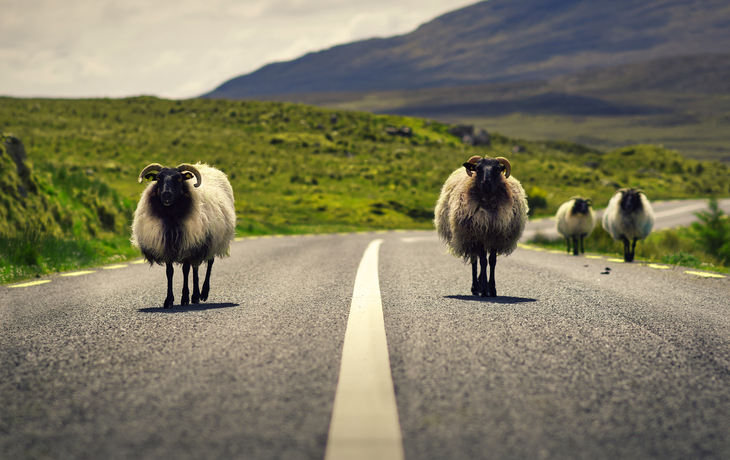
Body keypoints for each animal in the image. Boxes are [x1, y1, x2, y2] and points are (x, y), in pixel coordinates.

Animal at [131, 162, 236, 308]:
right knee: (196, 268)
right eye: (158, 179)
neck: (172, 217)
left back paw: (203, 293)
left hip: (214, 240)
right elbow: (169, 272)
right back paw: (196, 296)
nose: (166, 195)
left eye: (179, 179)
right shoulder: (168, 246)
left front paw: (185, 298)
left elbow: (185, 270)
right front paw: (169, 300)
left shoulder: (187, 244)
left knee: (209, 264)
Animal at [434, 155, 528, 297]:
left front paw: (492, 289)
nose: (486, 184)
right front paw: (484, 290)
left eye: (497, 170)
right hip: (470, 239)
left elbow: (492, 261)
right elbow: (483, 261)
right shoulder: (477, 235)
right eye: (478, 169)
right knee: (475, 261)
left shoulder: (495, 236)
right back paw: (475, 287)